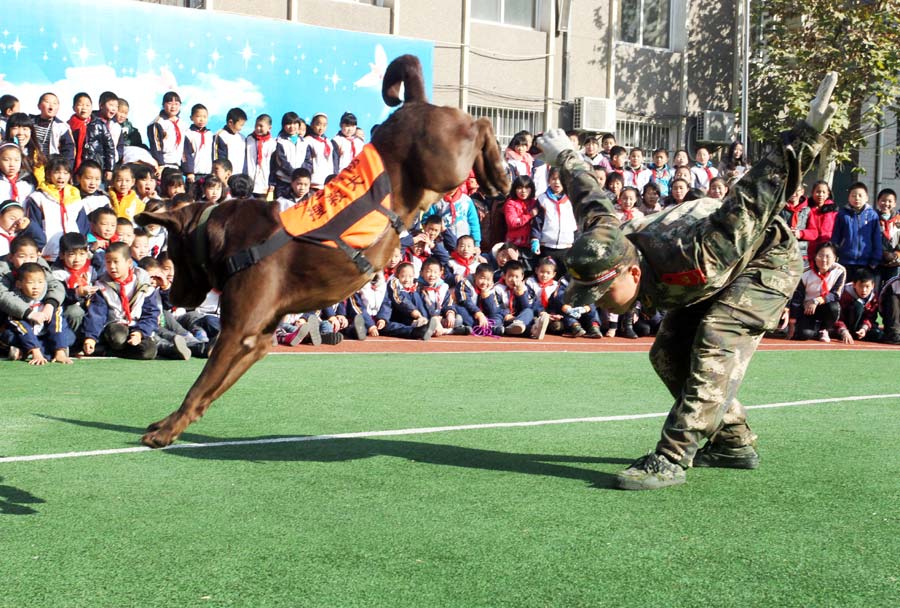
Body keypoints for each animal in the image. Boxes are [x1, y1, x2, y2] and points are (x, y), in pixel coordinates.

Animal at [135, 55, 512, 446]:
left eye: (174, 256)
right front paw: (173, 423)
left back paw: (497, 175)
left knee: (482, 124)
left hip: (444, 162)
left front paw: (166, 430)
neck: (219, 234)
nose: (170, 294)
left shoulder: (238, 332)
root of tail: (415, 104)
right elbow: (208, 390)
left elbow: (199, 385)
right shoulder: (256, 339)